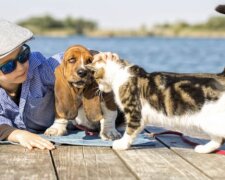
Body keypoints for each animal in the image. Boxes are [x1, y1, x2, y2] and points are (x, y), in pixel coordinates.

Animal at [86, 52, 225, 153]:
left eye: (96, 78)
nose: (99, 89)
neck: (120, 73)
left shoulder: (135, 113)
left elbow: (130, 131)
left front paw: (122, 144)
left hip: (211, 120)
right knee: (218, 139)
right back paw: (204, 149)